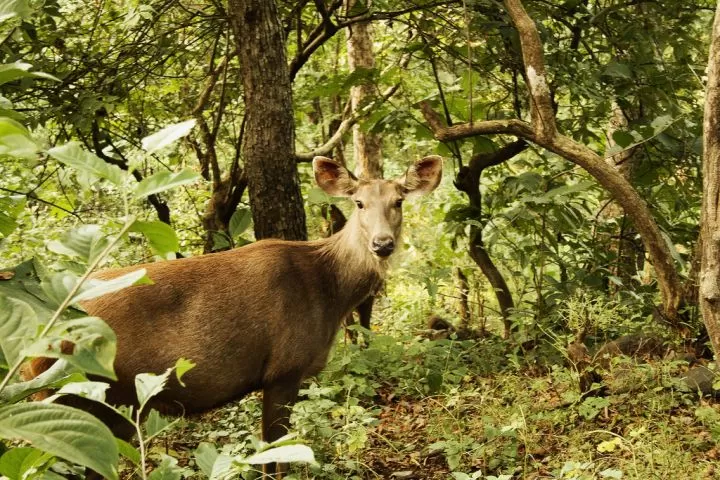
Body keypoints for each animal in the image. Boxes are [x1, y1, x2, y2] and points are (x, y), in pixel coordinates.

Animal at [24, 155, 442, 477]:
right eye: (358, 203)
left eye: (398, 201)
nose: (382, 244)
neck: (328, 290)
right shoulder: (284, 368)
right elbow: (276, 457)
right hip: (75, 395)